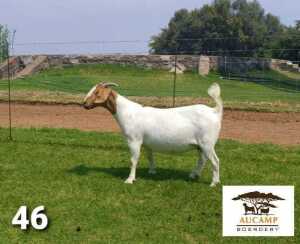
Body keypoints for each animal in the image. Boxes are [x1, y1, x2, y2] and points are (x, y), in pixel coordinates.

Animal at [83, 82, 221, 187]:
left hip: (207, 143)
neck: (127, 112)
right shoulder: (146, 143)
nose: (84, 104)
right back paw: (194, 175)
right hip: (202, 145)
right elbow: (150, 157)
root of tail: (215, 111)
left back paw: (214, 183)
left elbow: (133, 160)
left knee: (215, 161)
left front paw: (130, 179)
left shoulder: (134, 140)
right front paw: (152, 171)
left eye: (96, 92)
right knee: (202, 159)